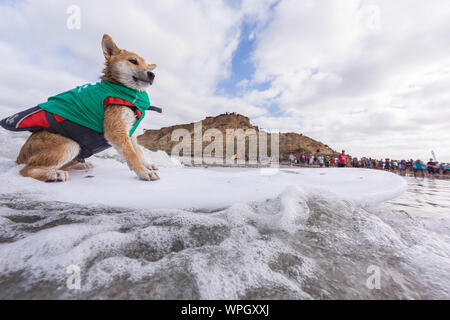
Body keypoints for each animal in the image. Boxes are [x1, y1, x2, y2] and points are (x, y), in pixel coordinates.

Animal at [0, 34, 161, 182]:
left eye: (147, 66)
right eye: (133, 61)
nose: (152, 74)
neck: (122, 89)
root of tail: (19, 157)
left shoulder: (129, 129)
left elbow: (138, 150)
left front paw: (147, 164)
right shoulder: (116, 130)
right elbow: (132, 154)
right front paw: (143, 172)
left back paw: (79, 165)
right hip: (70, 145)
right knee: (26, 170)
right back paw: (54, 174)